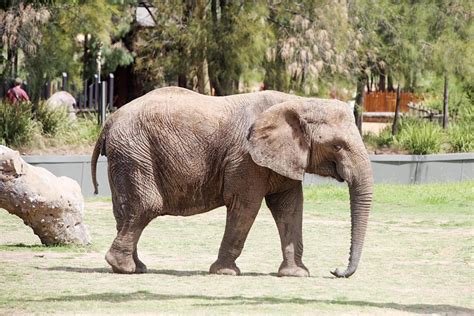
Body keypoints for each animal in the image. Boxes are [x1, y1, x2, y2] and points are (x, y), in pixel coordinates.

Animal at [91, 87, 374, 278]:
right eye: (337, 146)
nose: (335, 270)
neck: (300, 102)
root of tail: (109, 121)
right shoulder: (245, 158)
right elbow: (246, 206)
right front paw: (225, 272)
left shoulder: (283, 157)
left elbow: (290, 208)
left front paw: (296, 274)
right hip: (135, 152)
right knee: (145, 206)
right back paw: (124, 267)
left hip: (128, 155)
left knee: (125, 211)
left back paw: (137, 267)